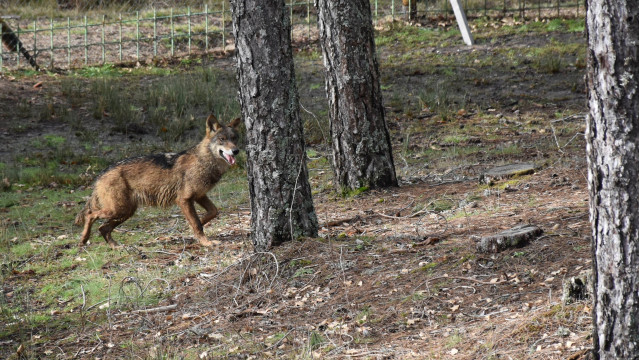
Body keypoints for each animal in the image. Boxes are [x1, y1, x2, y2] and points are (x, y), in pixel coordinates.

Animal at [75, 114, 240, 248]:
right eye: (222, 139)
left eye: (234, 139)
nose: (236, 151)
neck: (204, 161)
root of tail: (101, 175)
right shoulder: (184, 200)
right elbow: (197, 224)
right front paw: (206, 242)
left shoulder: (199, 196)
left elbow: (212, 212)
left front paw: (199, 224)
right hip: (118, 210)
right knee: (90, 215)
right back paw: (83, 239)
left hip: (126, 212)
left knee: (103, 228)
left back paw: (115, 247)